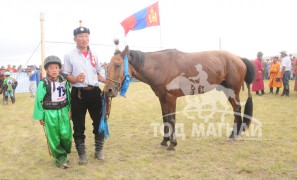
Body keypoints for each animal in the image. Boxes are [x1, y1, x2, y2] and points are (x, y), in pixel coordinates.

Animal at [104, 45, 254, 150]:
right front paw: (164, 141)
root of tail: (239, 58)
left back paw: (233, 136)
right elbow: (165, 119)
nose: (108, 90)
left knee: (237, 109)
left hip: (232, 91)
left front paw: (172, 144)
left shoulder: (171, 98)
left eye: (118, 65)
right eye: (107, 67)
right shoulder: (162, 98)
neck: (160, 66)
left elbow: (171, 119)